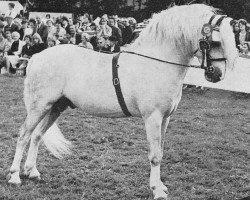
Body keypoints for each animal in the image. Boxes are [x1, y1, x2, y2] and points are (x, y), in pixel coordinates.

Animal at [7, 3, 238, 200]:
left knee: (37, 136)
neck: (156, 64)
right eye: (215, 42)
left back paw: (32, 172)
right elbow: (155, 155)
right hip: (40, 107)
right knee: (24, 135)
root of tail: (36, 57)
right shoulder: (153, 118)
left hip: (56, 107)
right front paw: (157, 191)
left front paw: (161, 186)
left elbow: (161, 151)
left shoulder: (165, 119)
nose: (216, 74)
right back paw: (15, 176)